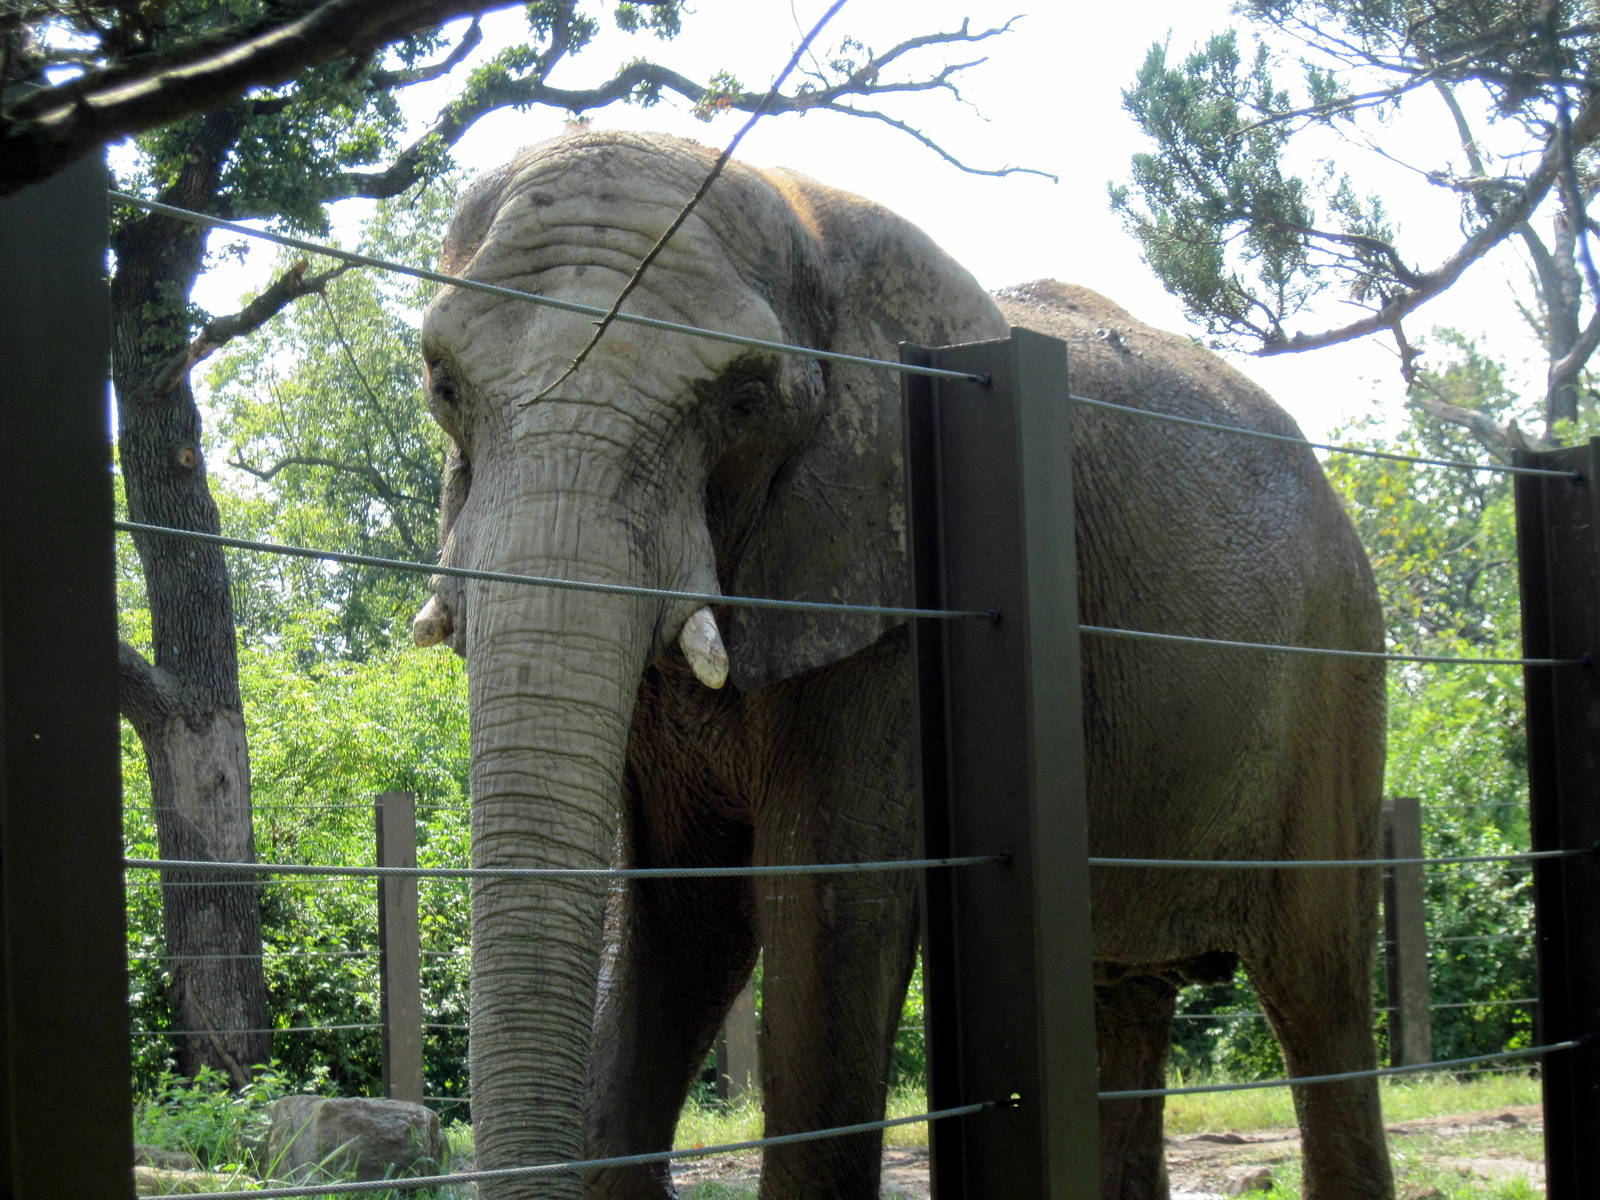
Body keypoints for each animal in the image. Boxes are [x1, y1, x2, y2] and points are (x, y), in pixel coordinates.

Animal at [411, 129, 1393, 1200]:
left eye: (745, 401)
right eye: (443, 386)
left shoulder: (896, 608)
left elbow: (825, 918)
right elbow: (679, 923)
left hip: (1334, 671)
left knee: (1319, 989)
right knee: (1124, 989)